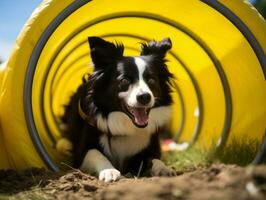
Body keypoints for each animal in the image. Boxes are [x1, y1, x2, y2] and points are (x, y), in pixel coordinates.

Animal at [57, 35, 176, 181]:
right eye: (124, 80)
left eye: (152, 80)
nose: (144, 97)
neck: (126, 124)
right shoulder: (81, 152)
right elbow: (95, 153)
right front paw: (109, 171)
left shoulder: (148, 148)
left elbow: (153, 159)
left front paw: (164, 168)